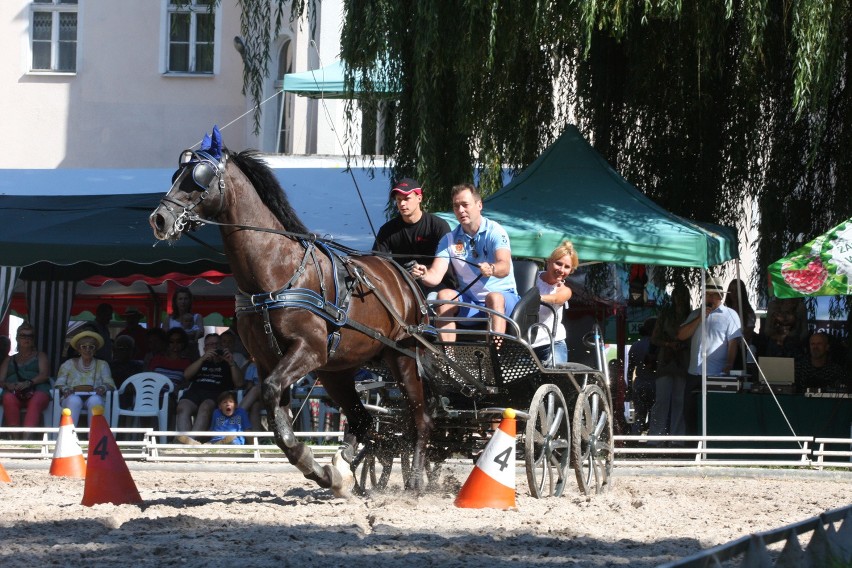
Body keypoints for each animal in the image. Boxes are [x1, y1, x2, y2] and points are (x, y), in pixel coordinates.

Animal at [148, 126, 432, 494]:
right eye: (176, 174)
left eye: (199, 176)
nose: (159, 219)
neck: (275, 271)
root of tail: (403, 275)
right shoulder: (270, 359)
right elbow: (277, 418)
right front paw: (321, 471)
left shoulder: (306, 350)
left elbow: (271, 396)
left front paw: (311, 461)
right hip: (336, 369)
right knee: (363, 419)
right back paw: (344, 470)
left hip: (402, 357)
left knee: (420, 418)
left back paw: (415, 482)